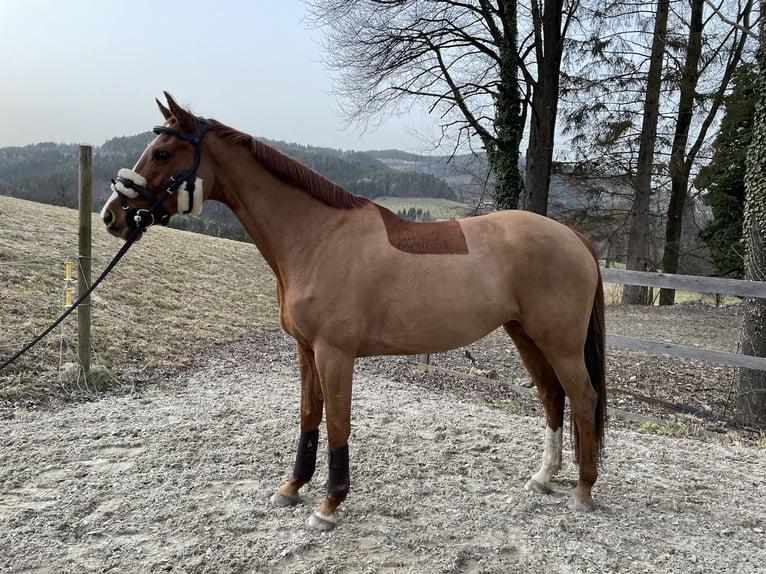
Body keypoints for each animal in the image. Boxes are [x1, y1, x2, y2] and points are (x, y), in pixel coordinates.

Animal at [101, 92, 607, 531]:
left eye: (163, 152)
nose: (112, 216)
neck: (319, 237)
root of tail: (576, 238)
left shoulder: (335, 354)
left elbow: (338, 424)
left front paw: (329, 505)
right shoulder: (306, 351)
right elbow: (309, 416)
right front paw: (291, 488)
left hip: (559, 343)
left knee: (582, 399)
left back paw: (583, 491)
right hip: (526, 335)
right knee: (553, 397)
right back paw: (543, 477)